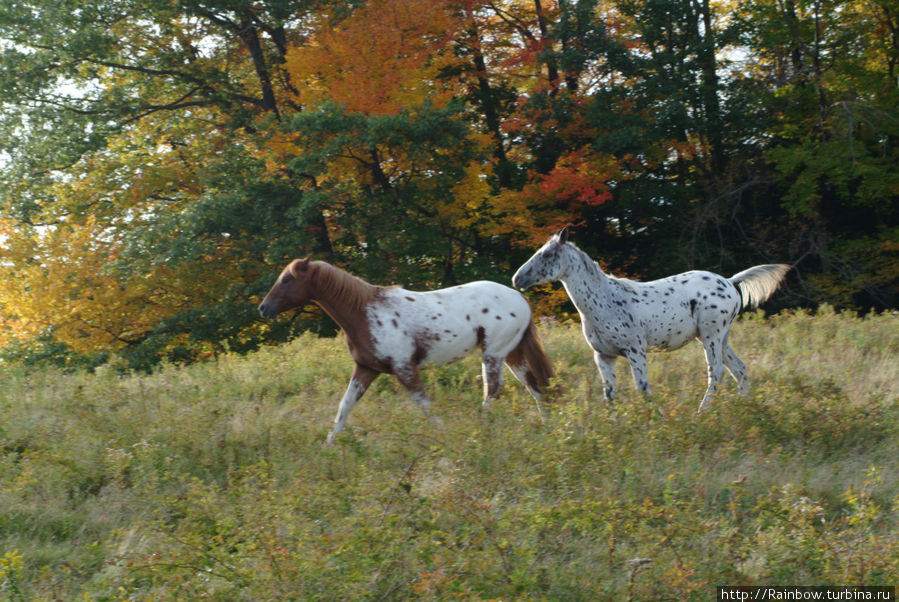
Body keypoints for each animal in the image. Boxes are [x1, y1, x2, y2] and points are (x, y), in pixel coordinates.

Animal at [258, 258, 556, 440]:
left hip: (493, 354)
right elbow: (344, 408)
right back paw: (545, 424)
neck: (364, 312)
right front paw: (328, 446)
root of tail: (519, 297)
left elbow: (424, 405)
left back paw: (480, 428)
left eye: (287, 280)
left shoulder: (404, 369)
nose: (263, 308)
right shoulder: (365, 369)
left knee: (493, 390)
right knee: (535, 387)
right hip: (512, 354)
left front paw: (444, 435)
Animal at [512, 226, 788, 412]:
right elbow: (609, 393)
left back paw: (703, 412)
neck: (605, 300)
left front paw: (656, 419)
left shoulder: (635, 350)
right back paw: (743, 407)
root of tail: (730, 282)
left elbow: (642, 387)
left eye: (548, 255)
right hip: (718, 337)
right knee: (738, 369)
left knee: (717, 372)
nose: (518, 278)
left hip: (712, 336)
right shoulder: (604, 356)